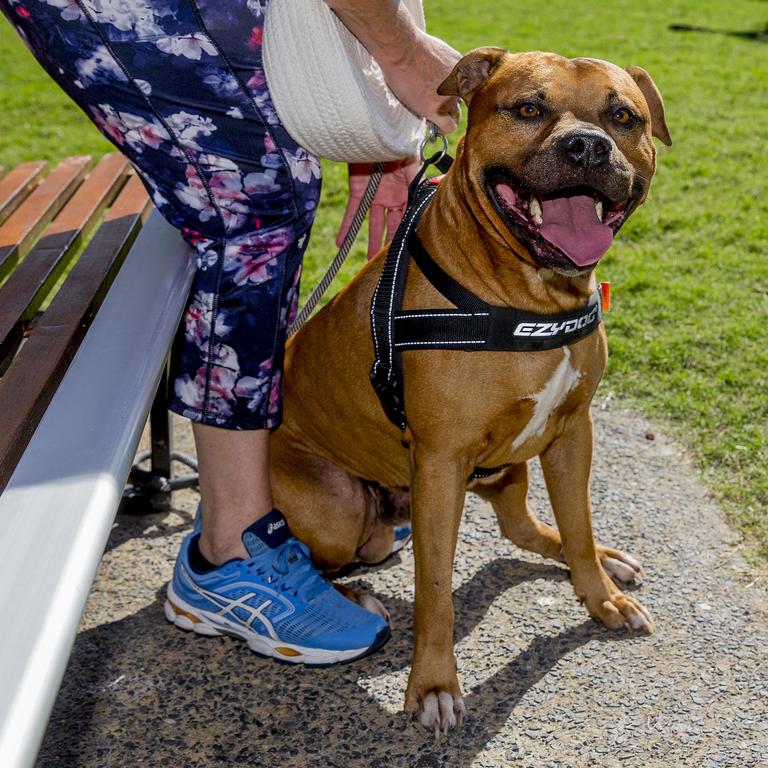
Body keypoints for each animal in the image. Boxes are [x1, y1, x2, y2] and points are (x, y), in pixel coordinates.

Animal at [270, 48, 672, 732]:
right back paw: (352, 596)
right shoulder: (439, 462)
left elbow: (579, 525)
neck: (531, 299)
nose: (589, 147)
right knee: (322, 553)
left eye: (623, 117)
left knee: (525, 531)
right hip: (336, 510)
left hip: (508, 471)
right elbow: (434, 589)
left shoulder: (572, 434)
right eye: (528, 109)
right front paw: (432, 684)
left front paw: (599, 594)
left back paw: (597, 556)